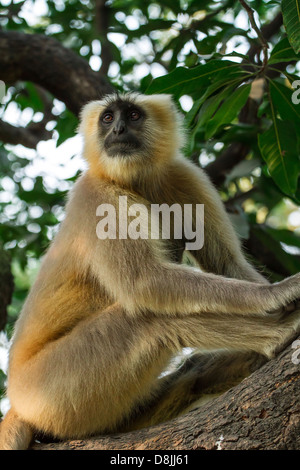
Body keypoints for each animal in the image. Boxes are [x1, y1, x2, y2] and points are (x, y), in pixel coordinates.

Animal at [0, 91, 300, 448]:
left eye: (132, 115)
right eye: (108, 118)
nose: (117, 130)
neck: (133, 180)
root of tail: (18, 400)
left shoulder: (185, 176)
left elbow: (227, 264)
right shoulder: (94, 193)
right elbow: (145, 283)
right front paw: (279, 293)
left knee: (189, 372)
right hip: (52, 391)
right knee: (150, 317)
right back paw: (279, 333)